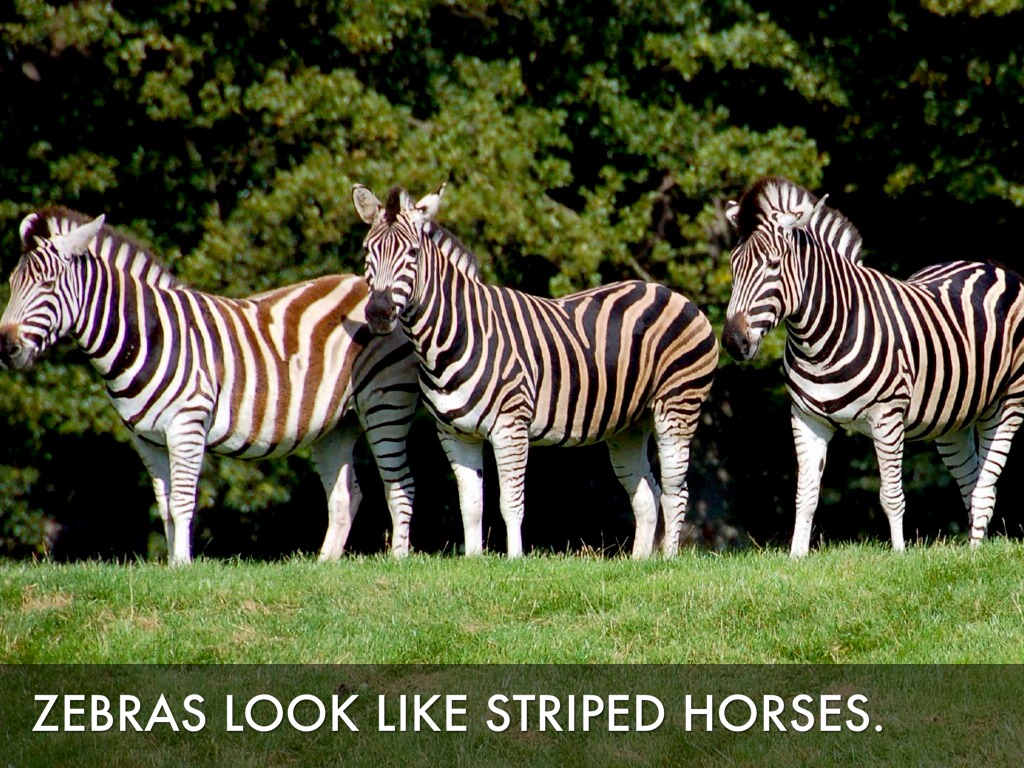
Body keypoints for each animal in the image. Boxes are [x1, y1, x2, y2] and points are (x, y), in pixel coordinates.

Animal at [0, 207, 420, 564]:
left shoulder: (186, 424)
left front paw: (184, 567)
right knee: (346, 495)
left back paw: (397, 561)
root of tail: (371, 287)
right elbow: (166, 505)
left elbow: (183, 501)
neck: (147, 336)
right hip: (335, 424)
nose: (6, 346)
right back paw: (324, 566)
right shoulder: (145, 438)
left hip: (385, 403)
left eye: (48, 284)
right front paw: (172, 566)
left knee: (400, 485)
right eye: (12, 284)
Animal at [351, 183, 718, 558]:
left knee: (676, 491)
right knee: (647, 495)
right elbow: (471, 505)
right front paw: (472, 560)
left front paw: (515, 559)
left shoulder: (510, 427)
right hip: (629, 424)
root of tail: (671, 293)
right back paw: (639, 562)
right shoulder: (454, 434)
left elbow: (510, 503)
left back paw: (667, 559)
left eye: (412, 253)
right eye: (367, 250)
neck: (452, 337)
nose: (378, 312)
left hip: (677, 407)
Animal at [721, 176, 1024, 557]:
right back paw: (974, 549)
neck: (818, 342)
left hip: (1009, 403)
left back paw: (973, 556)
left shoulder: (887, 417)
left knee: (985, 487)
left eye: (774, 265)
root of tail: (989, 264)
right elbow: (805, 495)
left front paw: (899, 555)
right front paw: (796, 558)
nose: (733, 342)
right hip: (953, 418)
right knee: (972, 483)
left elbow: (891, 495)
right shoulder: (806, 419)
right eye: (733, 266)